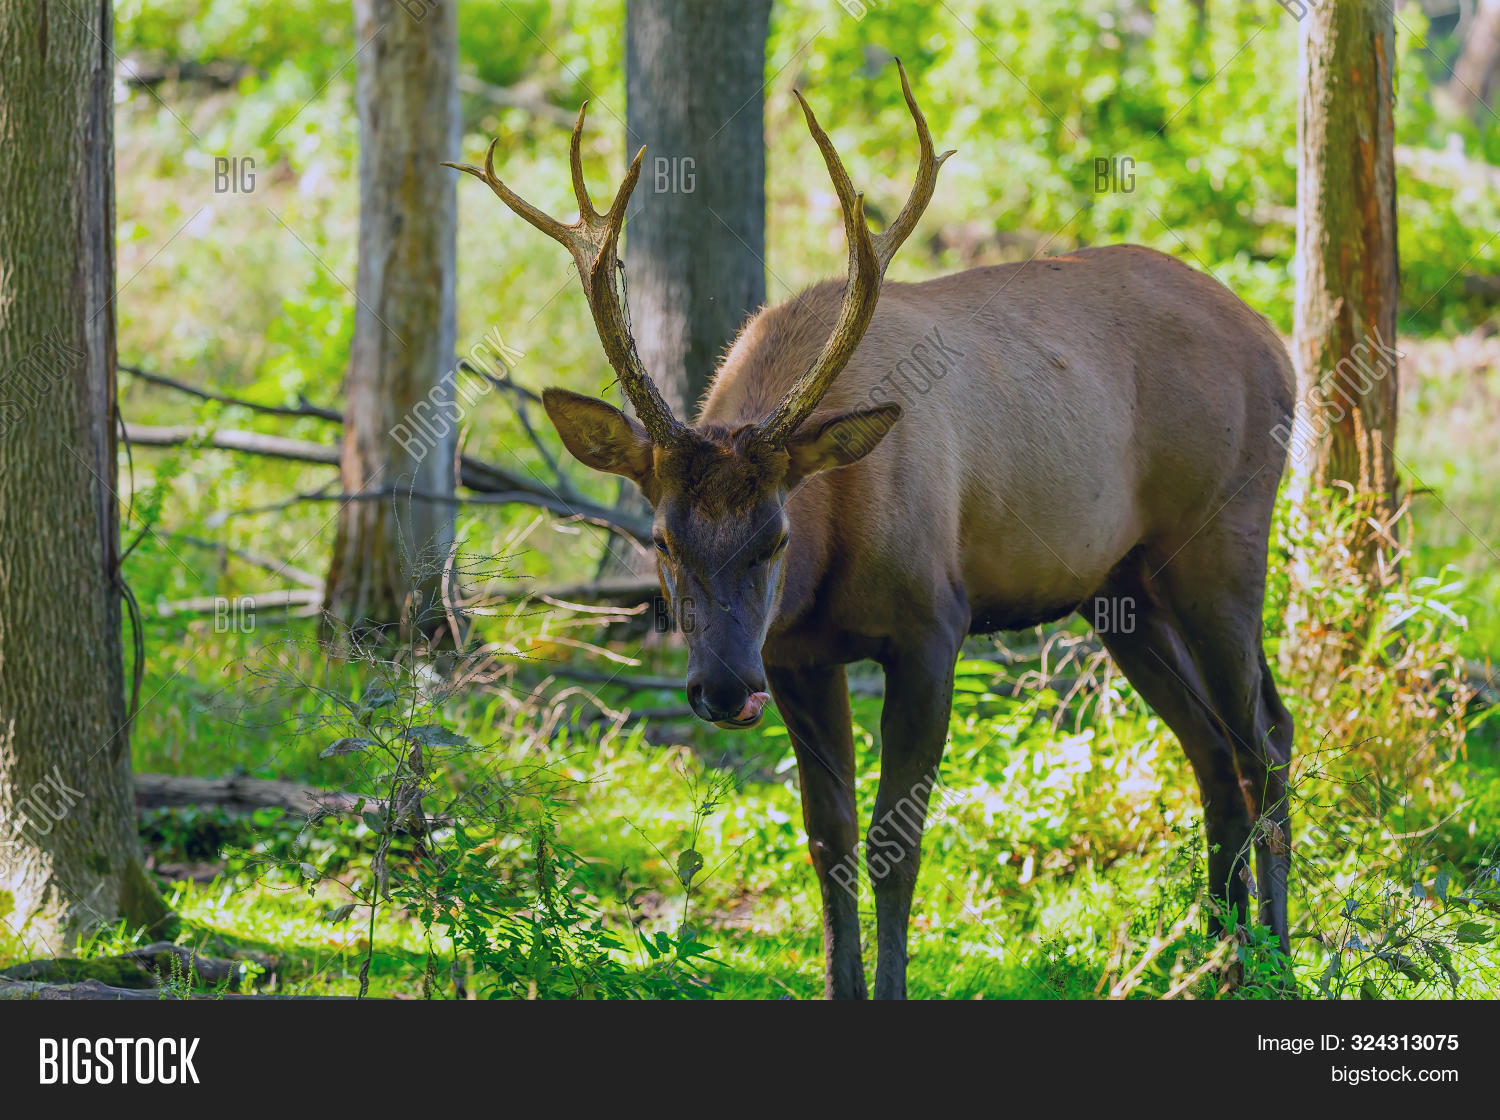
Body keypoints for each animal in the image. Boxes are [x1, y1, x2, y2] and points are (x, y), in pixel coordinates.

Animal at [446, 62, 1296, 999]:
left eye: (776, 537)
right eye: (660, 540)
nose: (720, 688)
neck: (829, 561)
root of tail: (1277, 343)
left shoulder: (933, 626)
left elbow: (898, 846)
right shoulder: (794, 656)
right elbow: (831, 844)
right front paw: (838, 984)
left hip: (1224, 538)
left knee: (1267, 740)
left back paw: (1278, 961)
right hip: (1123, 588)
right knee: (1215, 752)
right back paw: (1224, 961)